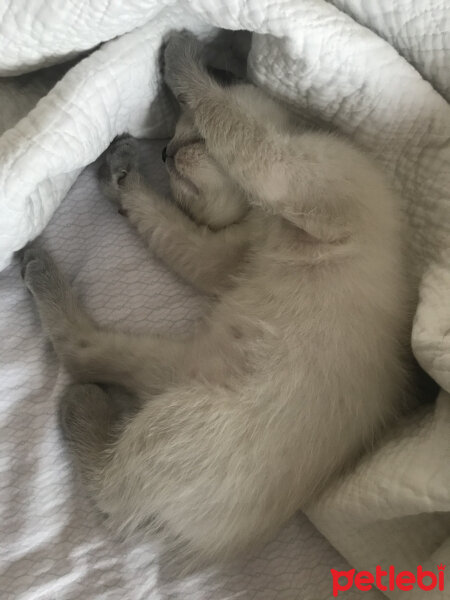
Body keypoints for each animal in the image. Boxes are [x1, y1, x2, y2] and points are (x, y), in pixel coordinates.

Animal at [22, 29, 414, 564]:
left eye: (187, 135)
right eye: (168, 144)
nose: (164, 153)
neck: (262, 219)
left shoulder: (289, 174)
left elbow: (226, 117)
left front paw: (180, 55)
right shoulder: (220, 258)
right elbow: (164, 226)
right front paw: (121, 178)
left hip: (177, 422)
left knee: (111, 492)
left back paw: (79, 401)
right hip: (169, 376)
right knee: (83, 357)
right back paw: (42, 272)